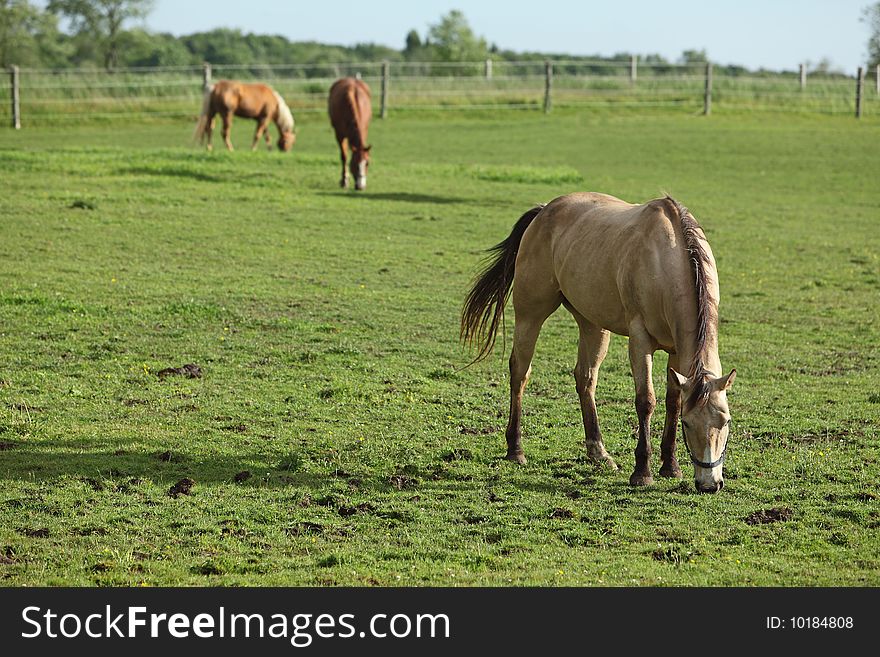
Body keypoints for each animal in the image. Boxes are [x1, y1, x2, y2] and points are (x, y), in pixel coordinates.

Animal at [460, 193, 736, 492]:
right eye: (687, 424)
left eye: (725, 422)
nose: (709, 484)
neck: (667, 257)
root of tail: (545, 210)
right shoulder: (640, 340)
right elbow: (646, 401)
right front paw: (642, 472)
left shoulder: (677, 350)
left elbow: (672, 401)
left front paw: (670, 466)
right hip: (529, 315)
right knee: (520, 373)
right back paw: (515, 449)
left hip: (592, 323)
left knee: (585, 378)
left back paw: (599, 453)